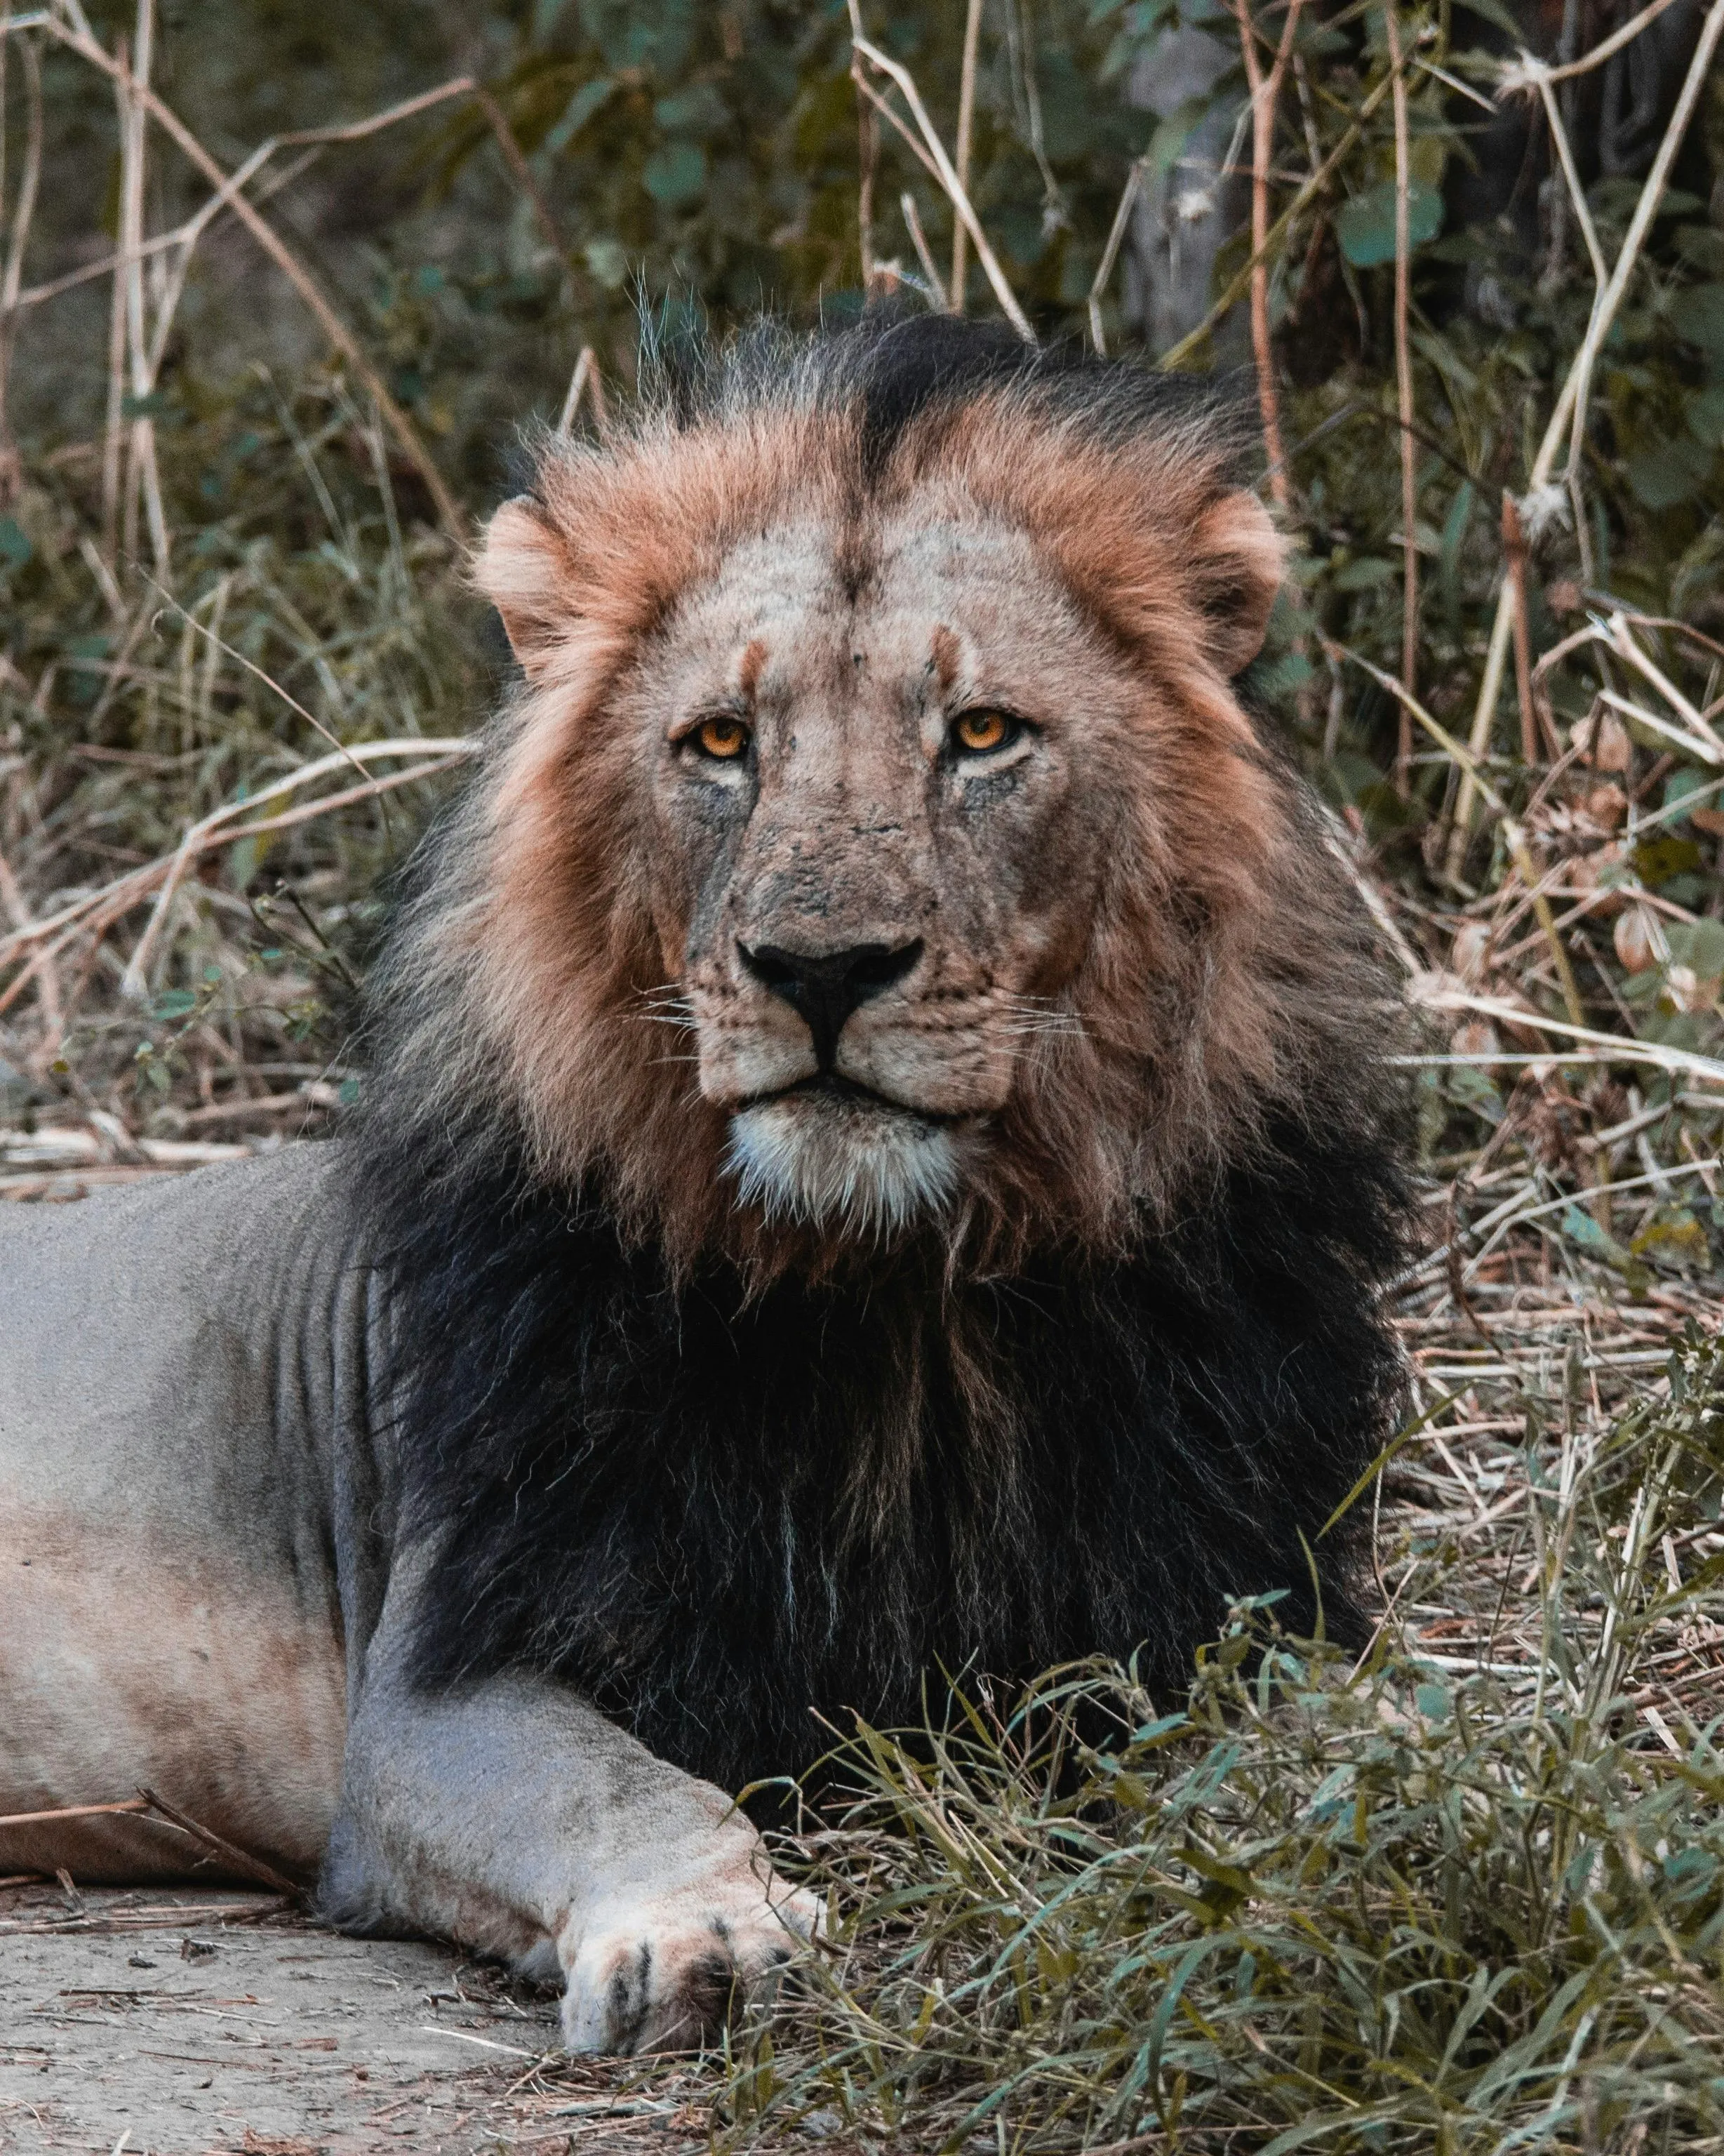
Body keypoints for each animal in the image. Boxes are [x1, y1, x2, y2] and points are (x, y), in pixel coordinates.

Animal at [0, 314, 1409, 2053]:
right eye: (722, 745)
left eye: (982, 734)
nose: (821, 969)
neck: (900, 1302)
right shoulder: (442, 1679)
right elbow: (623, 1790)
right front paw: (707, 1934)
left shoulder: (1221, 1584)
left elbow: (1326, 1720)